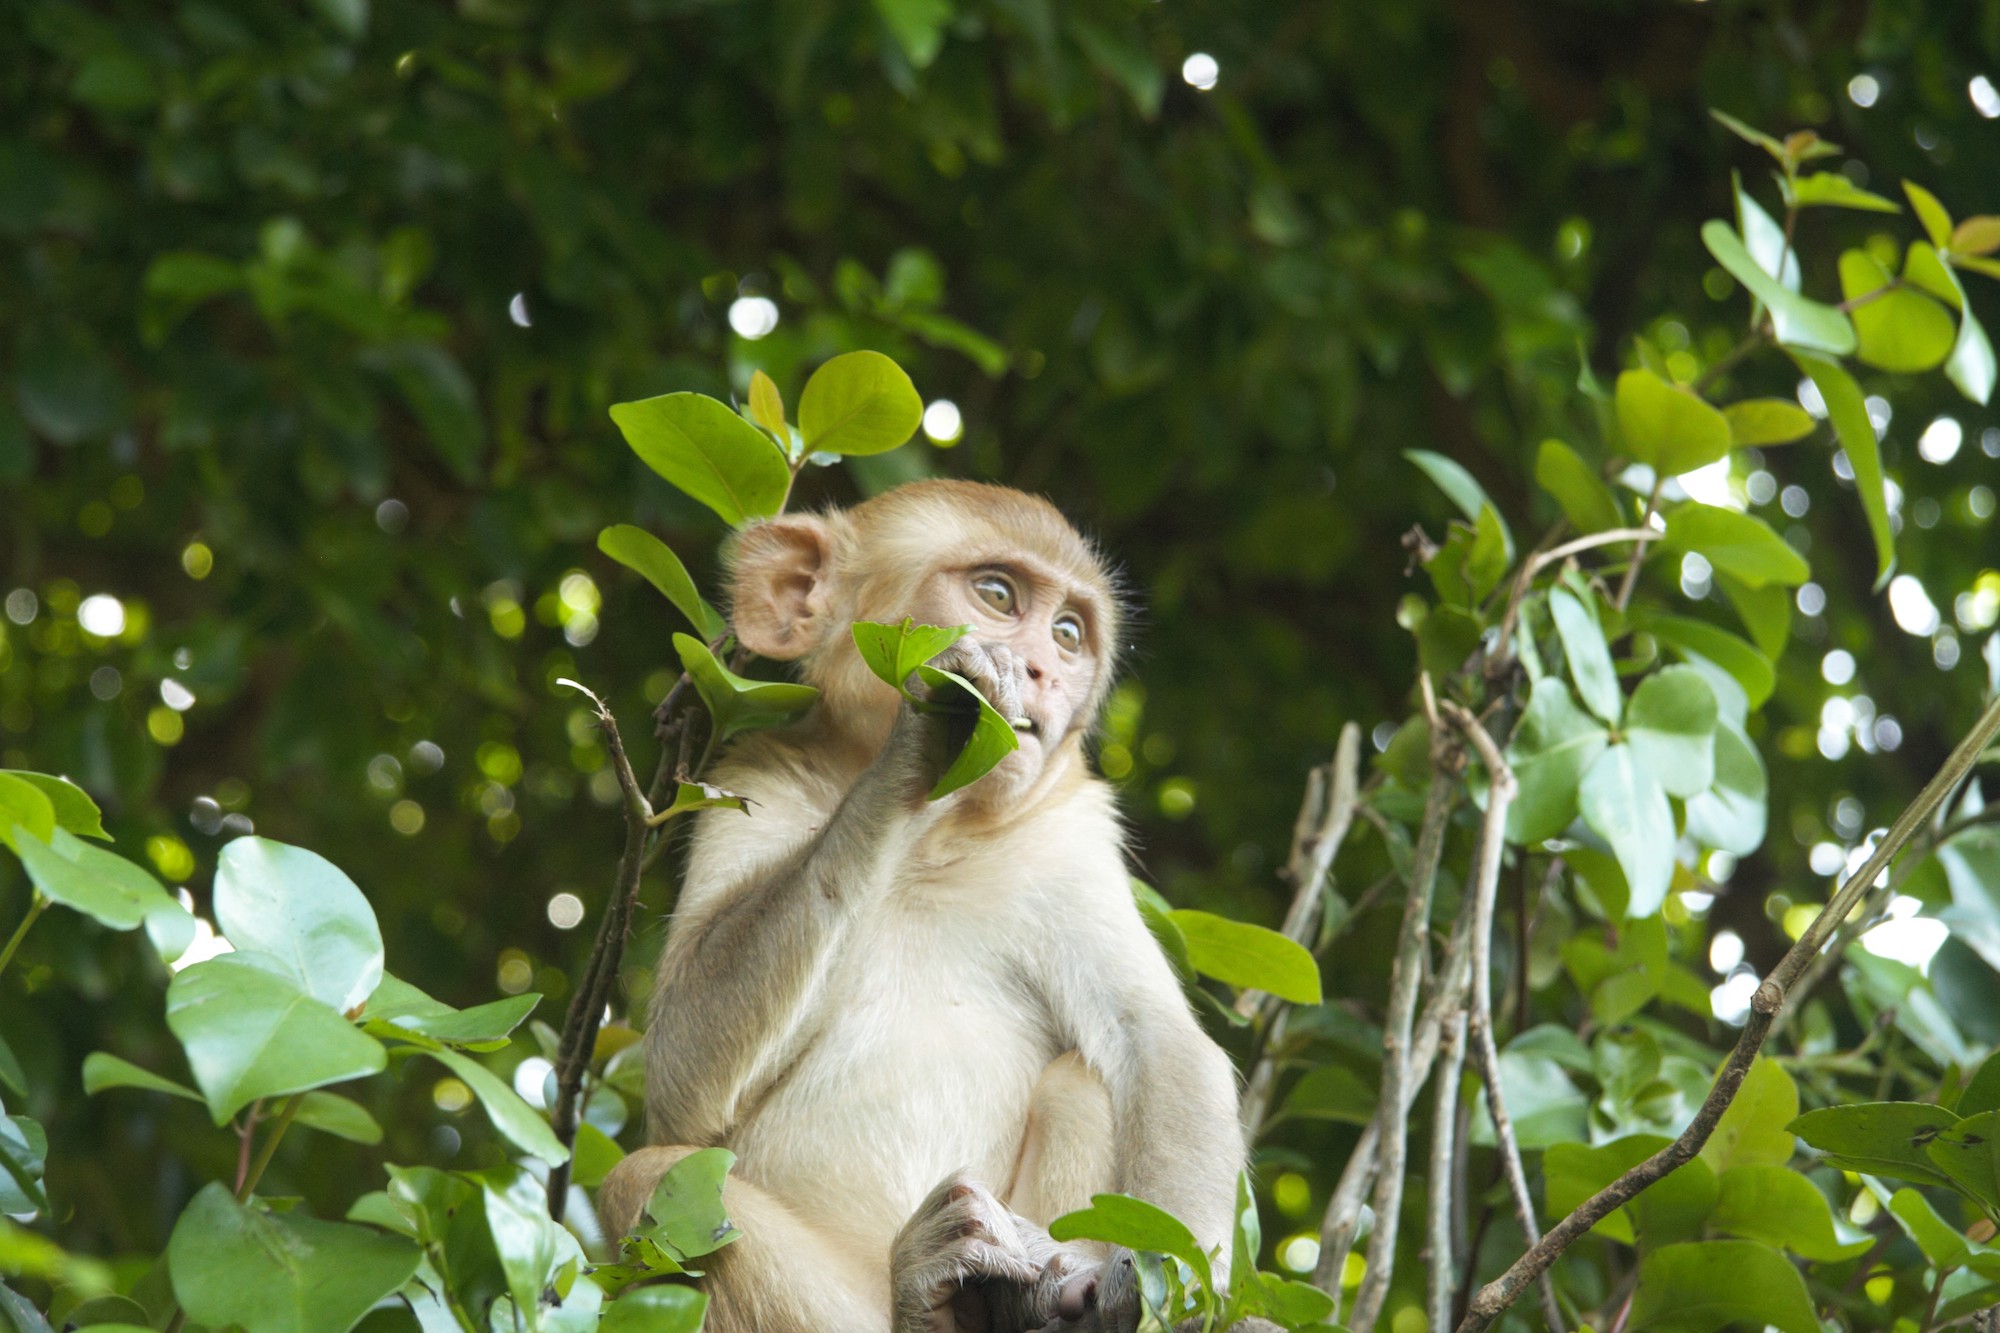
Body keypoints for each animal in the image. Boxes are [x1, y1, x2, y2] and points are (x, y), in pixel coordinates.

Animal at [600, 480, 1240, 1328]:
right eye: (997, 594)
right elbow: (679, 1080)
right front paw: (926, 728)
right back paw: (924, 1286)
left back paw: (1030, 1301)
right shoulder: (753, 778)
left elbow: (1160, 1044)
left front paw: (1168, 1287)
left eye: (1069, 633)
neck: (931, 841)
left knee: (1084, 1078)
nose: (1039, 667)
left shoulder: (1070, 838)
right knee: (641, 1180)